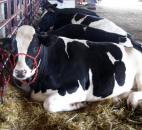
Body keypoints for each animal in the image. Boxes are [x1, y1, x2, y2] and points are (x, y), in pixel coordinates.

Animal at [0, 24, 142, 112]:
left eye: (35, 48)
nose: (20, 72)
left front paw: (77, 104)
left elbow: (48, 103)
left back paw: (132, 101)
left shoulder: (78, 88)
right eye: (12, 49)